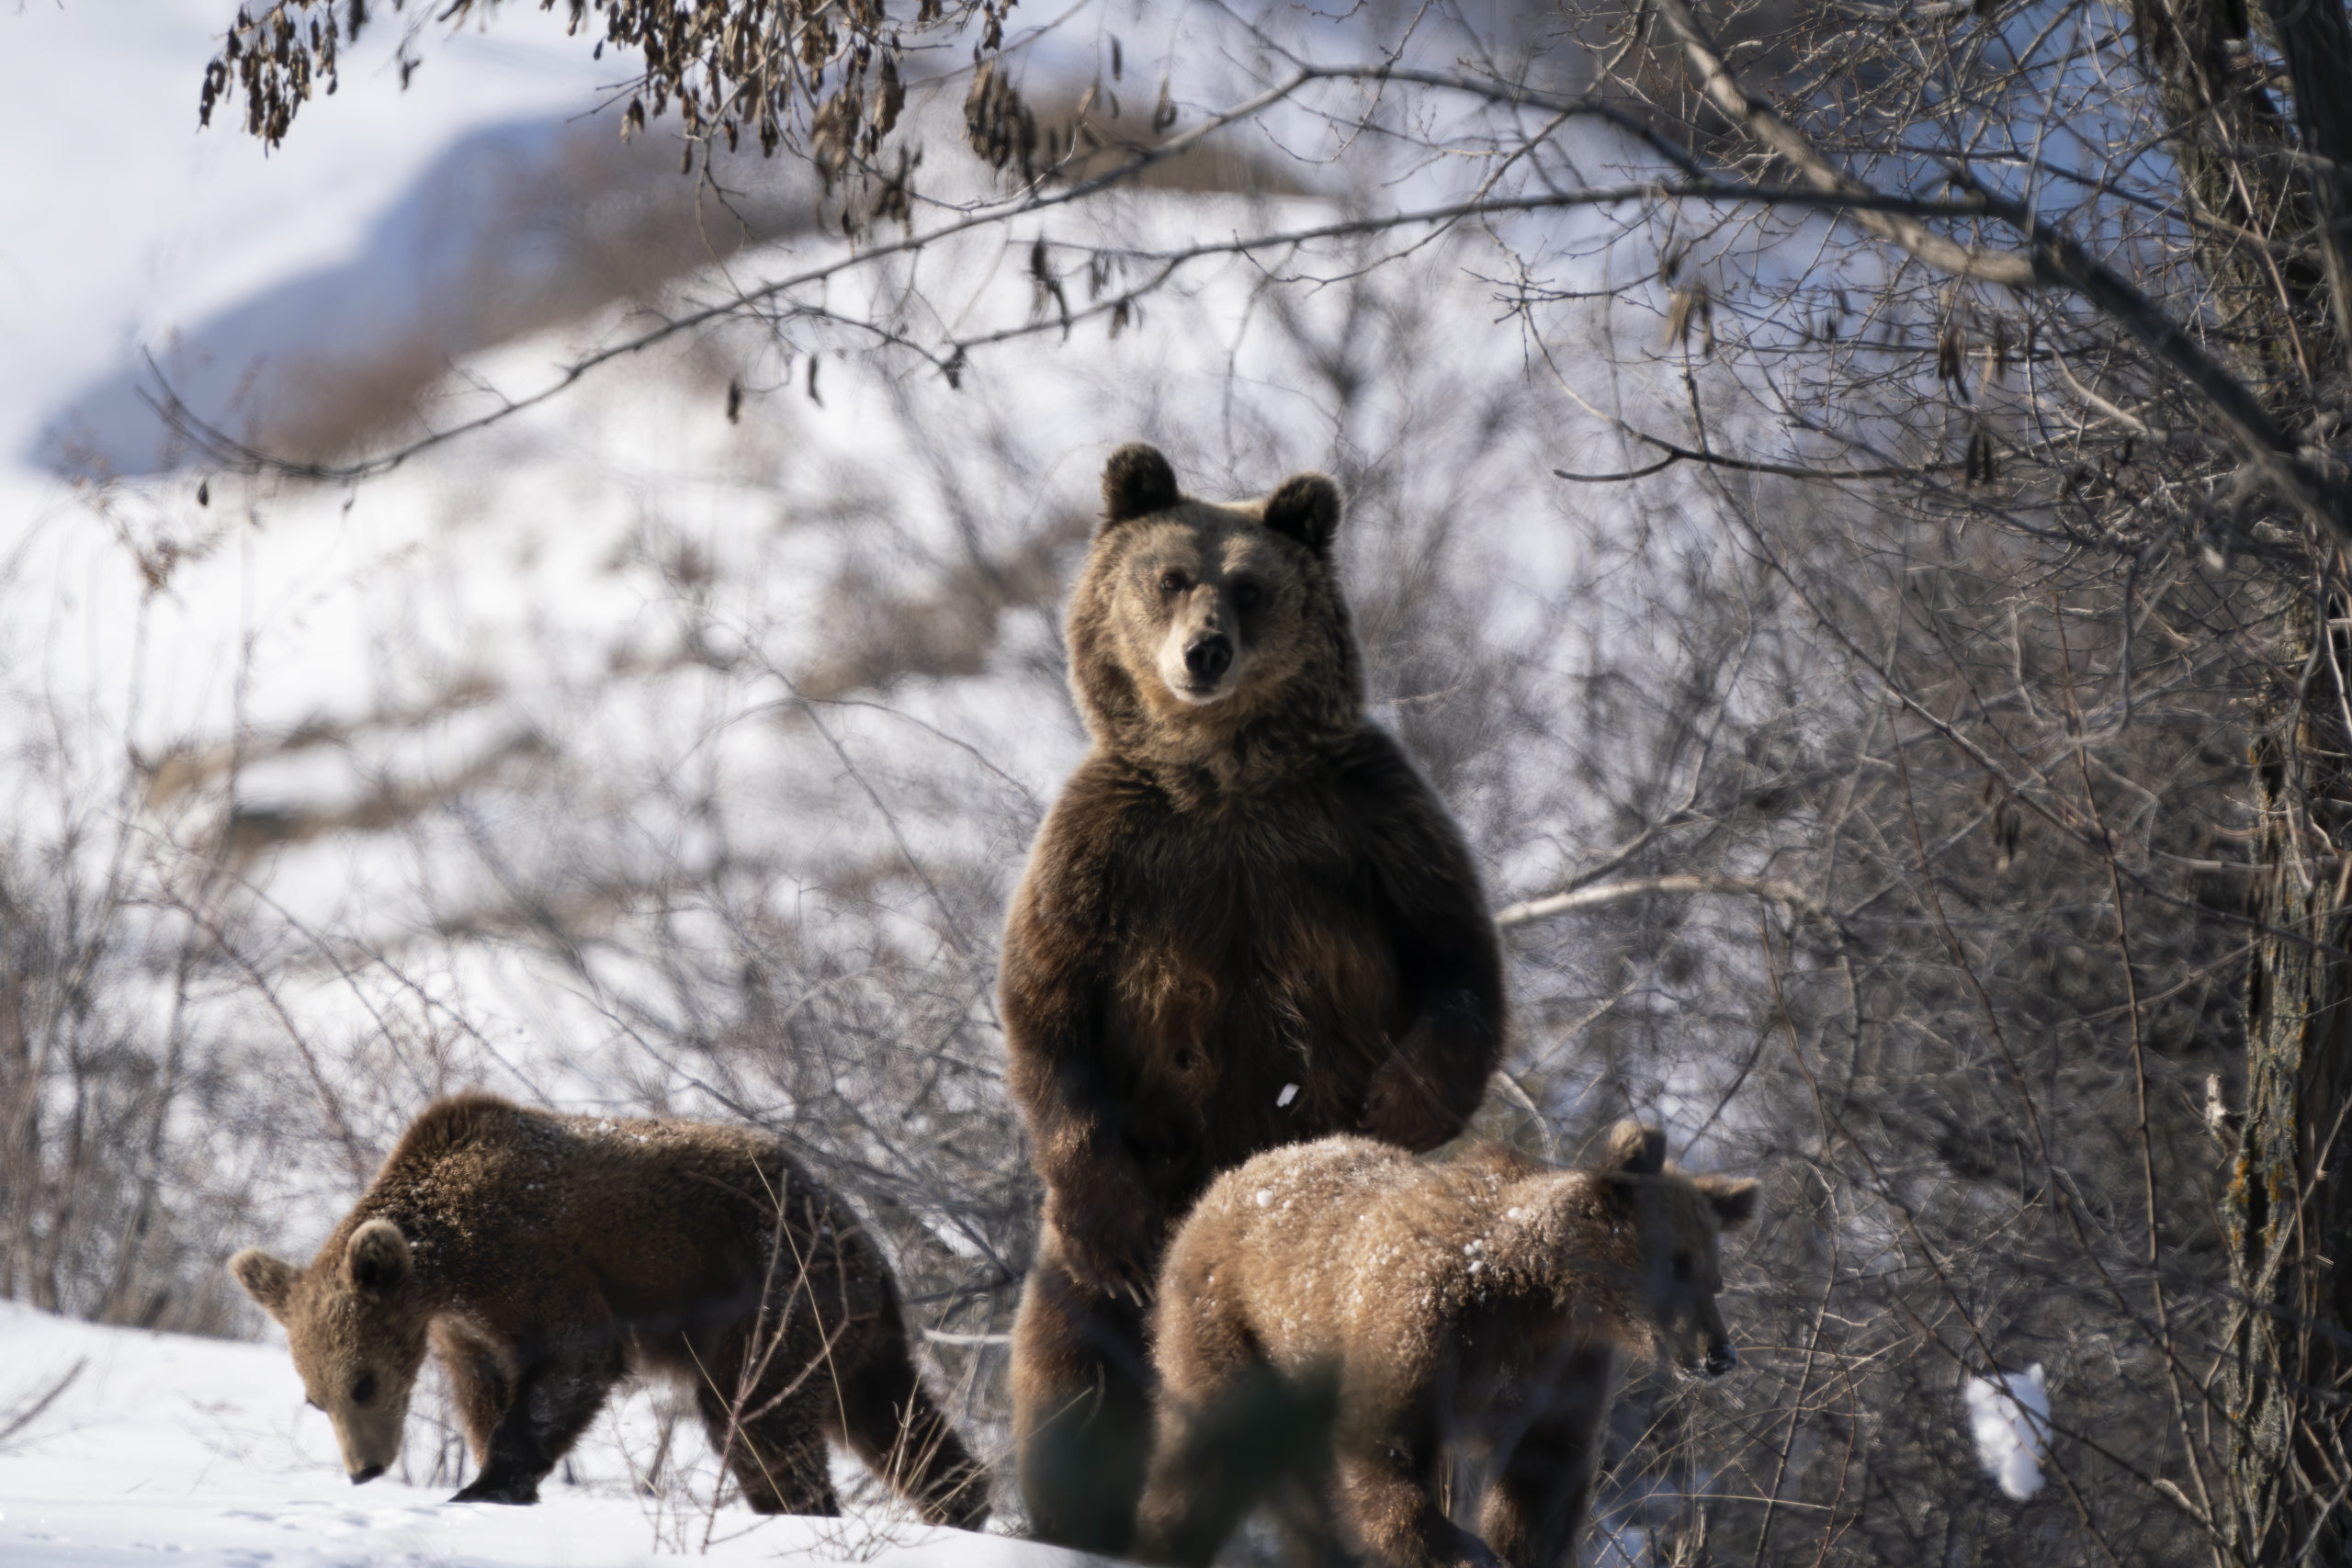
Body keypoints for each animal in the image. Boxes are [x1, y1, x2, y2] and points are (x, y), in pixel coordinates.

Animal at [227, 1100, 983, 1523]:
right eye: (316, 1397)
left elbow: (573, 1359)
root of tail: (865, 1244)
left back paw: (803, 1508)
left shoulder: (531, 1257)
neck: (445, 1262)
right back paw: (960, 1502)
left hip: (772, 1291)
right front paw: (498, 1475)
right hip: (848, 1331)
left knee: (754, 1416)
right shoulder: (461, 1329)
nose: (364, 1468)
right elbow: (483, 1390)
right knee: (889, 1414)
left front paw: (486, 1485)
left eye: (364, 1381)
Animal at [1001, 442, 1496, 1541]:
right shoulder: (1106, 850)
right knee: (1075, 1367)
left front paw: (1397, 1100)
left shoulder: (1363, 822)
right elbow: (1044, 1006)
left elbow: (1459, 959)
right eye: (1170, 575)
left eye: (1252, 586)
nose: (1204, 653)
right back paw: (1076, 1516)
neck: (1222, 774)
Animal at [1128, 1128, 1758, 1568]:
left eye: (1714, 1276)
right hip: (1232, 1332)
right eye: (1677, 1265)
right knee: (1210, 1450)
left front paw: (1516, 1549)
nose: (1718, 1355)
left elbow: (1544, 1474)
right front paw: (1457, 1546)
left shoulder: (1562, 1366)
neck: (1540, 1290)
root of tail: (1226, 1179)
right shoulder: (1426, 1323)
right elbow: (1386, 1440)